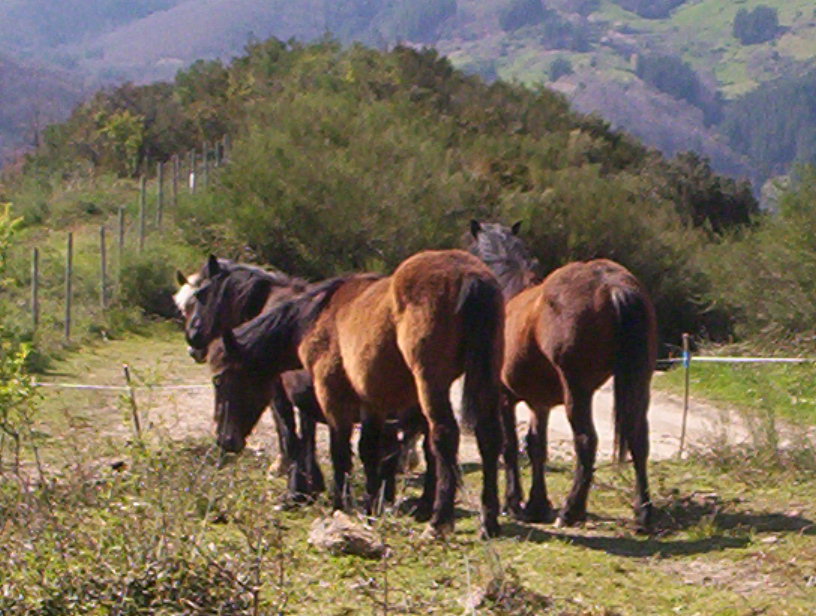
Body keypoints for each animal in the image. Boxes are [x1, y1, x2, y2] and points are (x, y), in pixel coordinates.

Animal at [207, 250, 506, 540]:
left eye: (218, 379)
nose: (224, 439)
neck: (318, 317)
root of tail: (469, 276)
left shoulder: (332, 398)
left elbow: (337, 451)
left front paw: (339, 504)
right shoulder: (372, 404)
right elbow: (369, 451)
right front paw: (372, 506)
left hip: (430, 385)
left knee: (443, 437)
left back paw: (438, 521)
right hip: (484, 381)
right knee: (489, 438)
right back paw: (487, 521)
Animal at [472, 221, 656, 528]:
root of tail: (612, 285)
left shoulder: (504, 398)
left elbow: (510, 446)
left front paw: (514, 503)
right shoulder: (540, 404)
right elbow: (536, 445)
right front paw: (537, 505)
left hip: (577, 390)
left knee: (586, 441)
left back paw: (572, 510)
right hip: (640, 383)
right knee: (638, 439)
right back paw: (643, 513)